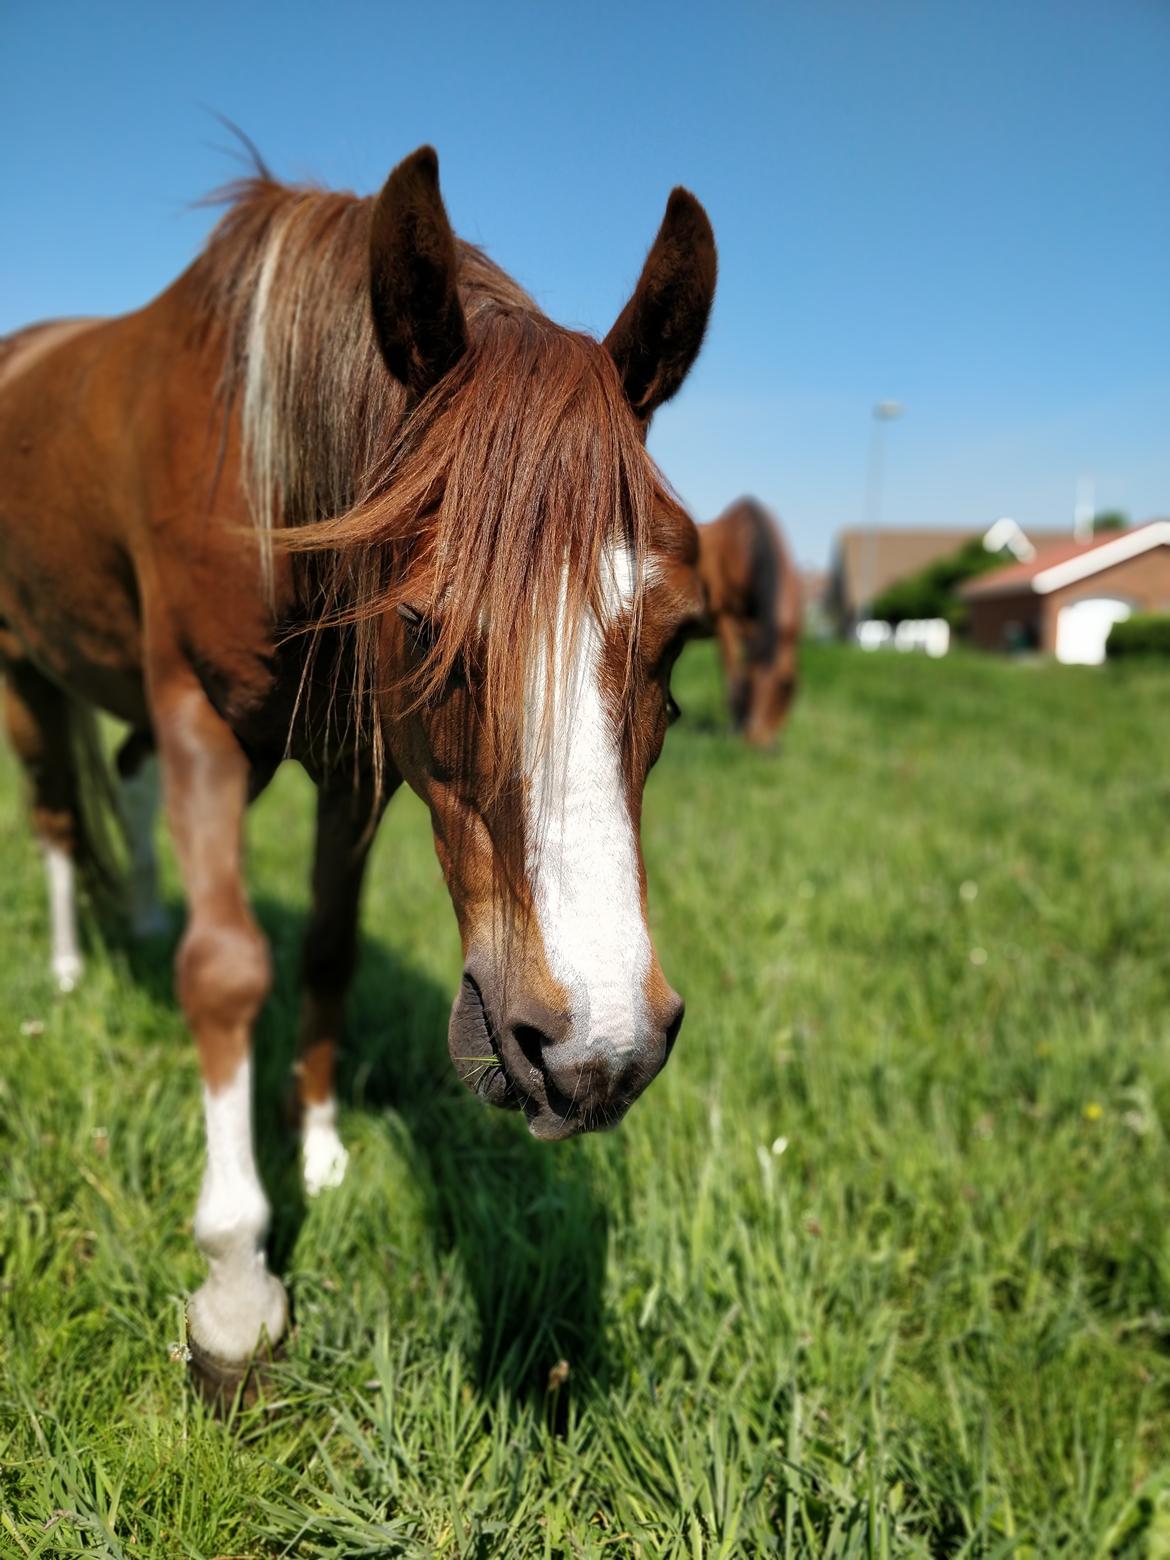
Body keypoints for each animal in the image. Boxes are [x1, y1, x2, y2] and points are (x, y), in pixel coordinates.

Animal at [0, 143, 720, 1391]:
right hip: (23, 668)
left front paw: (324, 1146)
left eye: (679, 636)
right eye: (425, 623)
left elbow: (328, 946)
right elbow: (228, 969)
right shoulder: (202, 720)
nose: (600, 1054)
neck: (263, 460)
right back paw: (67, 968)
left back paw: (138, 917)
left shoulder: (352, 761)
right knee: (52, 817)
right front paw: (237, 1285)